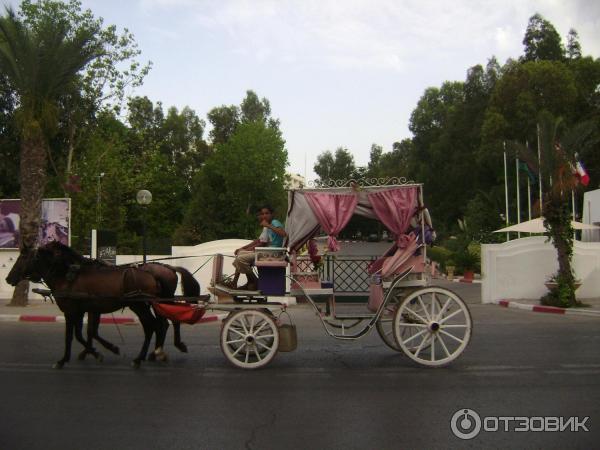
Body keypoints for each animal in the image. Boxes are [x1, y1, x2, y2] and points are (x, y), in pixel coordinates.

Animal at [5, 241, 197, 368]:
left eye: (23, 258)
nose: (8, 279)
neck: (68, 276)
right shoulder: (85, 310)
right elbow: (85, 333)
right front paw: (95, 351)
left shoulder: (71, 311)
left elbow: (72, 335)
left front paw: (64, 359)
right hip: (152, 303)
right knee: (162, 323)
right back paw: (156, 353)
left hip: (141, 305)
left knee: (154, 325)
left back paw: (143, 357)